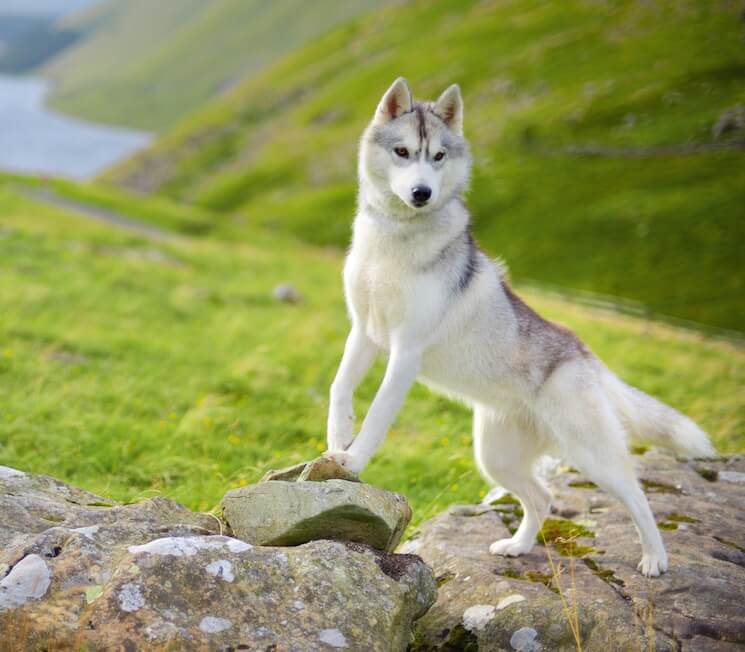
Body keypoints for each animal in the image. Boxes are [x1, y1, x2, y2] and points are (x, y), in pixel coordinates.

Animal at [322, 77, 712, 576]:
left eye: (438, 156)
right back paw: (519, 547)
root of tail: (582, 349)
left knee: (638, 495)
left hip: (592, 456)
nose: (422, 193)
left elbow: (376, 416)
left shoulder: (405, 352)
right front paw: (336, 440)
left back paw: (654, 558)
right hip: (496, 458)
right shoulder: (365, 332)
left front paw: (354, 457)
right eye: (402, 152)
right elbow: (340, 388)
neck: (395, 239)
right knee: (541, 497)